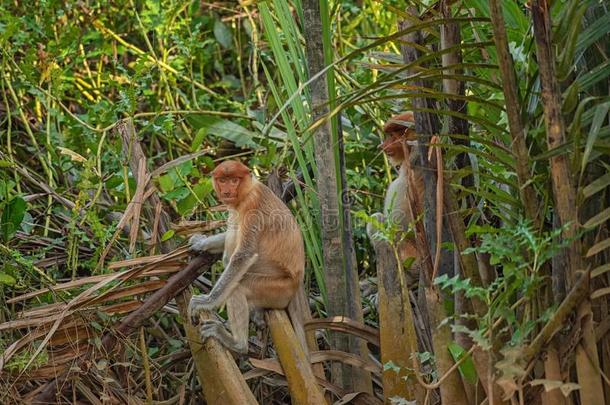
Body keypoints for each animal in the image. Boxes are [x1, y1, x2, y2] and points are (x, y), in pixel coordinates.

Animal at [188, 159, 304, 352]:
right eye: (223, 180)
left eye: (234, 180)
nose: (227, 191)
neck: (248, 191)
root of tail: (297, 284)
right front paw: (200, 242)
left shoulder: (252, 207)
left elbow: (244, 255)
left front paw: (205, 301)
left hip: (278, 289)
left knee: (238, 287)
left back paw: (238, 344)